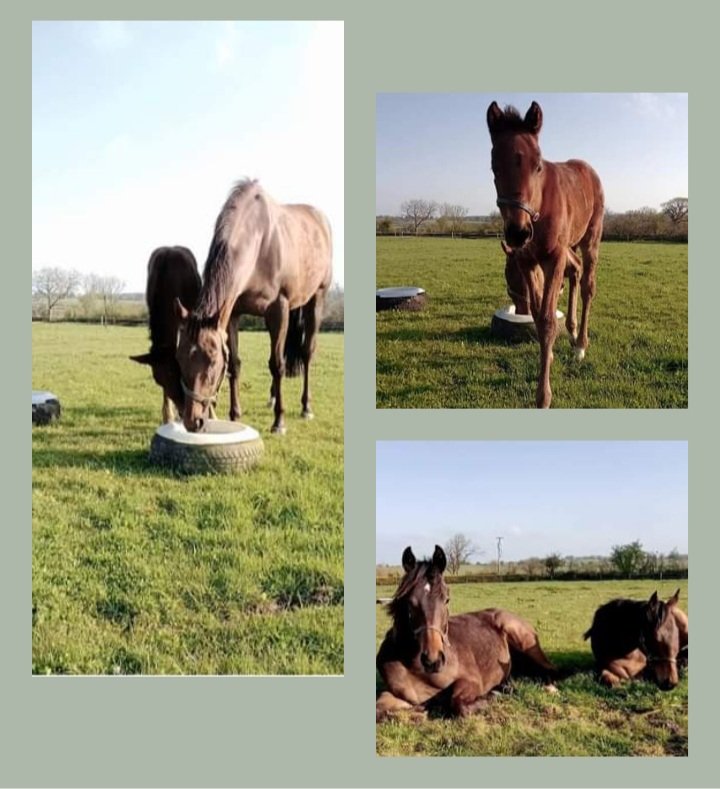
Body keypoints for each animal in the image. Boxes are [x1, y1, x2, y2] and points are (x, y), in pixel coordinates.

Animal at [176, 179, 334, 434]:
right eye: (180, 359)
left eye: (212, 361)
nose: (193, 421)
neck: (259, 243)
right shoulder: (233, 313)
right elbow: (235, 364)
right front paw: (235, 415)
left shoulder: (278, 309)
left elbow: (277, 364)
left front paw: (279, 422)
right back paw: (272, 398)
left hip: (316, 298)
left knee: (307, 352)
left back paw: (305, 407)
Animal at [376, 540, 556, 720]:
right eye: (410, 602)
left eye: (447, 599)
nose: (433, 660)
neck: (417, 669)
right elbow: (380, 710)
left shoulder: (471, 681)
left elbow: (459, 704)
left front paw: (493, 695)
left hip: (524, 642)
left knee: (550, 670)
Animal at [486, 100, 604, 406]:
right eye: (494, 166)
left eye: (538, 166)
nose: (518, 232)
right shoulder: (528, 261)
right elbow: (539, 318)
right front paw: (547, 356)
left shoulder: (553, 258)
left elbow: (549, 320)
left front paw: (543, 397)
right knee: (576, 270)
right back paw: (572, 331)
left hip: (591, 239)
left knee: (587, 284)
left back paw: (580, 345)